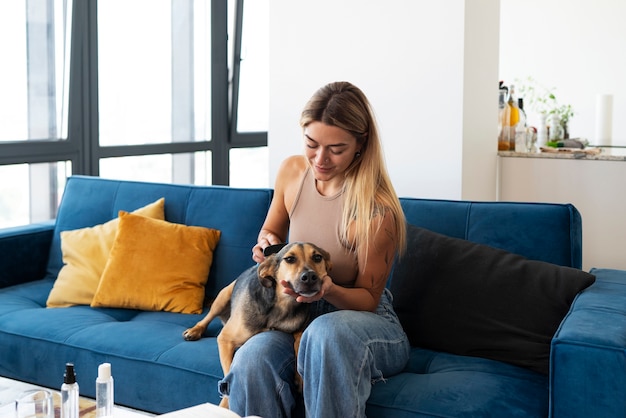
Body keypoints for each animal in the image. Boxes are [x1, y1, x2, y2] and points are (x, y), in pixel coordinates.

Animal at [180, 242, 330, 408]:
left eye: (317, 257)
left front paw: (300, 378)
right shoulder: (225, 339)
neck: (281, 306)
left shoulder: (300, 329)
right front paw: (224, 405)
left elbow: (298, 343)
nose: (310, 277)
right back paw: (195, 330)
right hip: (222, 296)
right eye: (290, 259)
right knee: (207, 318)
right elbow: (228, 377)